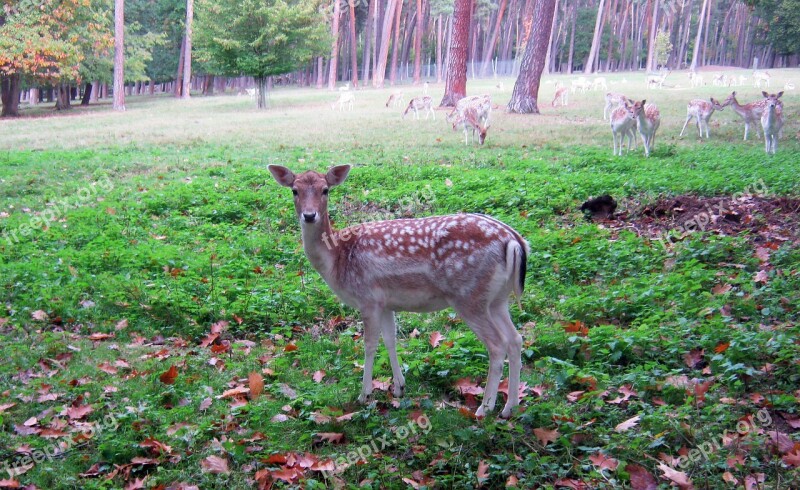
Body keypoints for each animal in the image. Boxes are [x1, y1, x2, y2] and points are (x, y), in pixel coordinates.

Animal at [270, 165, 532, 418]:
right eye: (294, 190)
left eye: (325, 190)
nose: (309, 215)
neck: (336, 258)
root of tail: (514, 241)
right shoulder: (386, 303)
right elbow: (391, 340)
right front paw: (399, 388)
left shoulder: (368, 298)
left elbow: (369, 344)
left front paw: (364, 395)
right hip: (496, 299)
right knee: (515, 339)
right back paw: (510, 407)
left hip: (469, 296)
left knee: (497, 346)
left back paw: (485, 408)